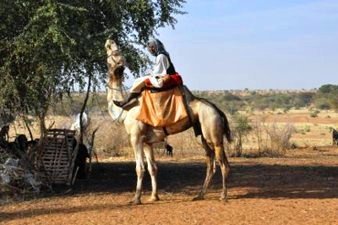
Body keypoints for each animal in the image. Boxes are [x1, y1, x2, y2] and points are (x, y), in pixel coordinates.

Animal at [105, 39, 232, 204]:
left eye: (115, 51)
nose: (109, 41)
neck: (125, 110)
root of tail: (218, 110)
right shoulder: (147, 141)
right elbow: (152, 168)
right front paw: (154, 196)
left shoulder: (135, 137)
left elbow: (139, 168)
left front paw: (136, 198)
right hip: (200, 133)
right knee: (210, 161)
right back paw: (200, 195)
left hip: (212, 131)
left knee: (222, 163)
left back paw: (223, 195)